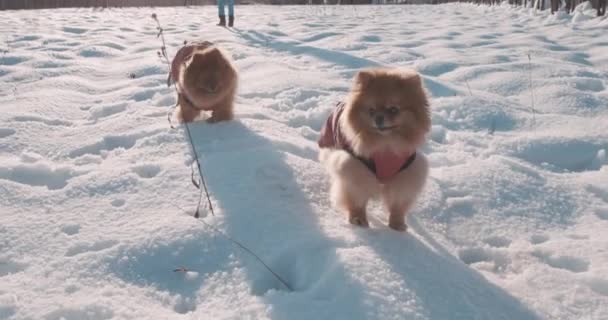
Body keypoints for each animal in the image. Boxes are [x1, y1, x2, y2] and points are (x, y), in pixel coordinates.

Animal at [320, 68, 430, 232]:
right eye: (371, 110)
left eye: (393, 109)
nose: (378, 118)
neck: (385, 145)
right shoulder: (354, 168)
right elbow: (356, 198)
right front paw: (358, 218)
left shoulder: (407, 172)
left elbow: (398, 203)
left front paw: (397, 224)